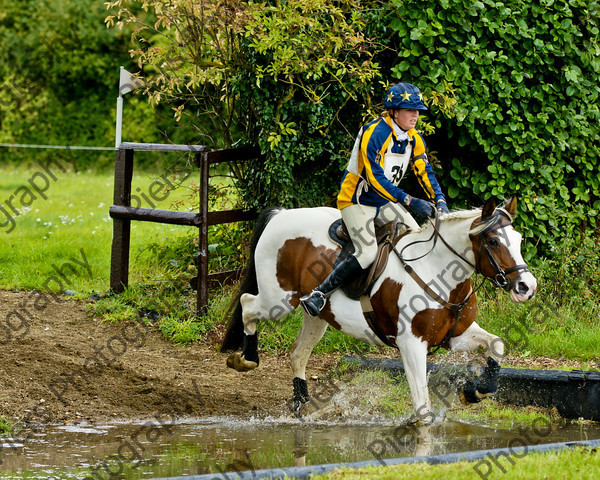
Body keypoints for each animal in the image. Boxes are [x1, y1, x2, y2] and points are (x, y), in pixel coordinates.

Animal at [221, 195, 540, 420]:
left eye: (519, 239)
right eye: (493, 241)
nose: (527, 287)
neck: (437, 271)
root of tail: (282, 214)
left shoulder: (456, 335)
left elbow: (496, 344)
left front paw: (475, 391)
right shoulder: (411, 344)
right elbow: (422, 408)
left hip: (317, 313)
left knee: (298, 353)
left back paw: (301, 405)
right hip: (278, 300)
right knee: (247, 304)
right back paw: (245, 359)